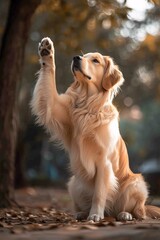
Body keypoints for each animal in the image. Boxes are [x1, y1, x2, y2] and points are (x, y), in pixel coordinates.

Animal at [31, 36, 160, 222]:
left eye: (95, 60)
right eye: (84, 55)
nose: (75, 57)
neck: (88, 105)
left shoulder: (104, 161)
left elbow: (99, 193)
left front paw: (96, 215)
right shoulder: (53, 108)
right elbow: (49, 80)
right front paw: (47, 51)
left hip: (136, 183)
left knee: (137, 211)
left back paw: (125, 214)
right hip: (74, 183)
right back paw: (81, 213)